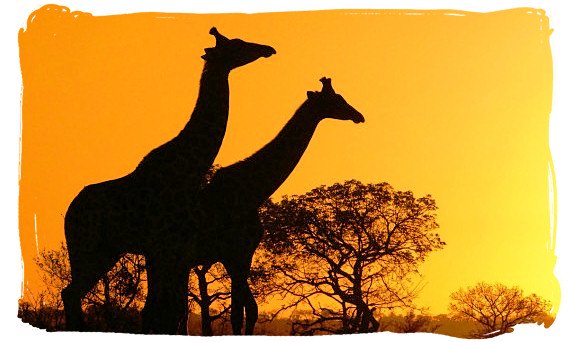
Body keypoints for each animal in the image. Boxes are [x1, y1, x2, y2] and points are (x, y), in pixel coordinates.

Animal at [62, 27, 276, 334]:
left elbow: (165, 311)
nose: (267, 49)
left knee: (71, 293)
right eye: (237, 44)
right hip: (87, 247)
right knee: (72, 293)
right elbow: (163, 311)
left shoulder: (165, 251)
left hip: (105, 250)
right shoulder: (166, 247)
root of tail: (69, 212)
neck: (188, 169)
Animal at [195, 77, 364, 334]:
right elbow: (239, 314)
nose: (358, 115)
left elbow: (249, 311)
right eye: (336, 99)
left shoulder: (243, 256)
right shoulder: (233, 255)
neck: (252, 193)